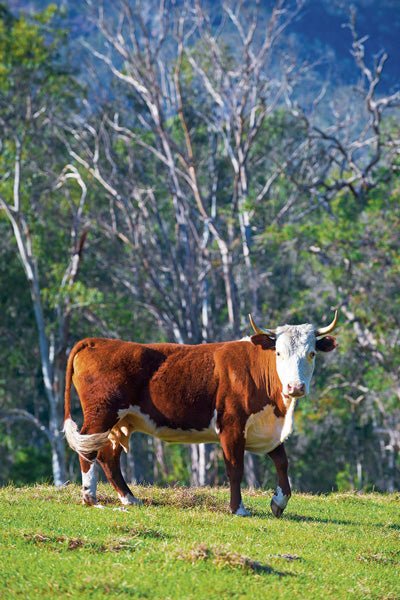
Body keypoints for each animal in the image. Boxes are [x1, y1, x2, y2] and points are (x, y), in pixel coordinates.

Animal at [62, 310, 338, 516]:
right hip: (101, 414)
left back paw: (129, 498)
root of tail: (96, 341)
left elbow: (282, 462)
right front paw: (238, 509)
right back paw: (90, 497)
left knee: (108, 456)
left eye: (311, 353)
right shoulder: (231, 425)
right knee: (89, 450)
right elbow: (235, 468)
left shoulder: (264, 428)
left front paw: (278, 503)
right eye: (279, 353)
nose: (295, 387)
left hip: (119, 421)